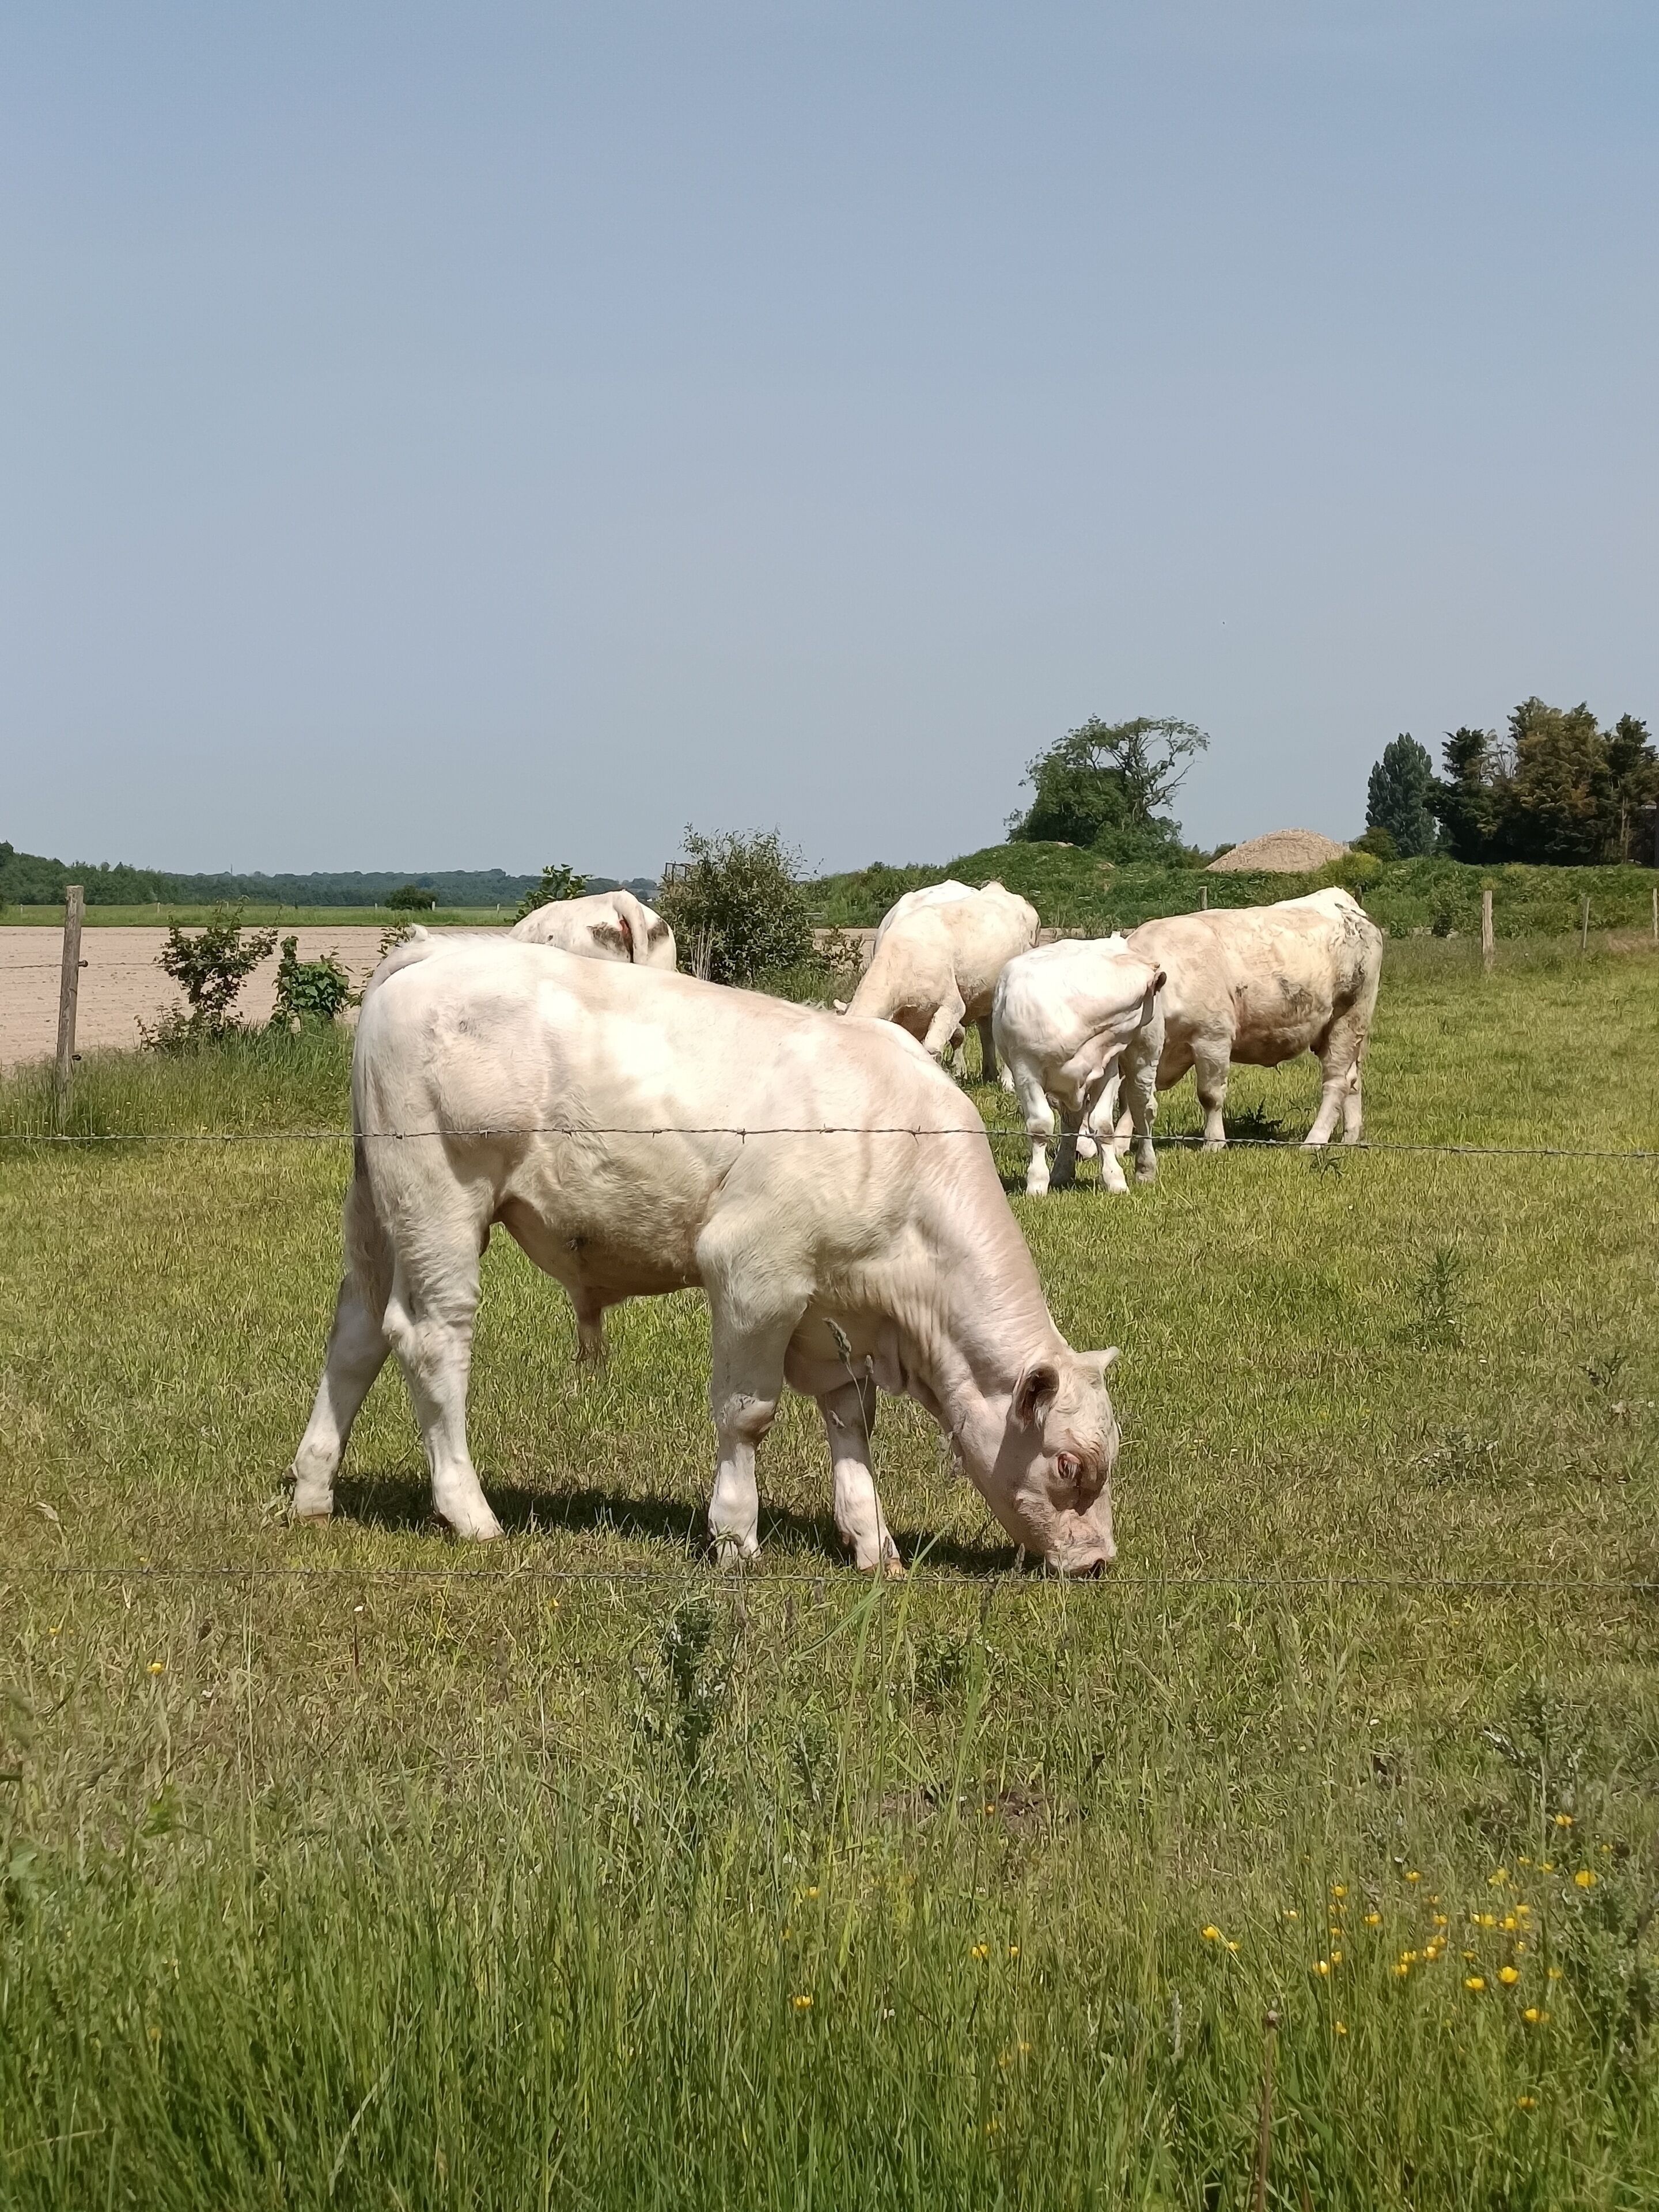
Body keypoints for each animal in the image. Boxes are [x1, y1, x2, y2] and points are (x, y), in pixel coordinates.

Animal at [286, 937, 1124, 1575]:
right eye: (1070, 1465)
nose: (1097, 1563)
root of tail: (435, 949)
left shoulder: (829, 1305)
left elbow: (850, 1416)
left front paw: (872, 1540)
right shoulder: (754, 1274)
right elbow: (747, 1414)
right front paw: (734, 1535)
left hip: (380, 1214)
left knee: (354, 1336)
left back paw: (313, 1492)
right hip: (441, 1201)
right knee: (431, 1339)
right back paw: (469, 1511)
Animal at [837, 880, 1039, 1085]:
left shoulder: (951, 1005)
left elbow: (933, 1049)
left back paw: (1007, 1081)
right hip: (985, 992)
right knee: (986, 1029)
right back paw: (989, 1075)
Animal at [991, 936, 1166, 1196]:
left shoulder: (1108, 1070)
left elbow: (1103, 1126)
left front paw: (1115, 1179)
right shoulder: (1026, 1071)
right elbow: (1041, 1126)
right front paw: (1037, 1182)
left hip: (1143, 1058)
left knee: (1141, 1108)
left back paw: (1146, 1168)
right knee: (1071, 1121)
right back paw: (1062, 1171)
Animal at [1113, 887, 1384, 1183]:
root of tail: (1345, 903)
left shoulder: (1213, 1038)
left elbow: (1210, 1095)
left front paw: (1214, 1143)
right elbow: (1129, 1097)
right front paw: (1119, 1144)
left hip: (1348, 1018)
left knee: (1337, 1082)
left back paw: (1313, 1141)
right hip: (1349, 1031)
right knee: (1353, 1078)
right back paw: (1350, 1138)